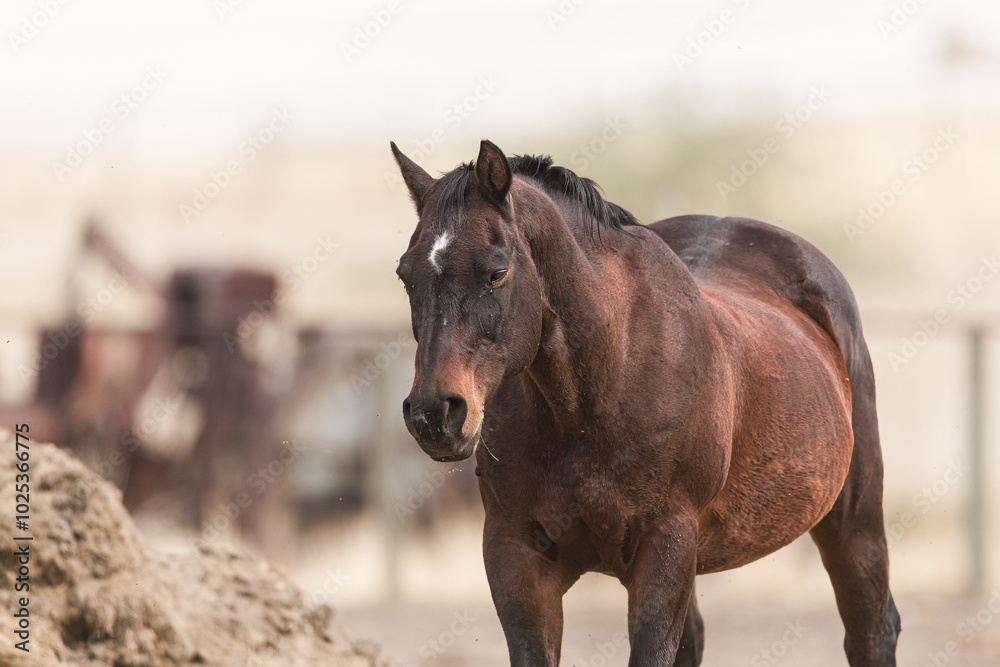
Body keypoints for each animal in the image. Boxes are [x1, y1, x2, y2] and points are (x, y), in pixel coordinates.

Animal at [390, 139, 900, 666]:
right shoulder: (515, 556)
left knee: (871, 630)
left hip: (854, 524)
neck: (589, 403)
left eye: (497, 272)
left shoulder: (665, 546)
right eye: (406, 276)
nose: (434, 413)